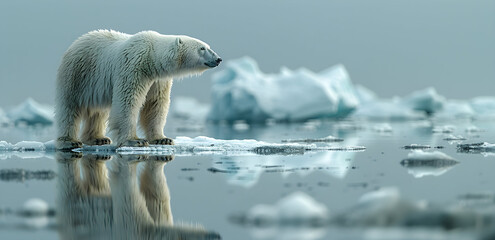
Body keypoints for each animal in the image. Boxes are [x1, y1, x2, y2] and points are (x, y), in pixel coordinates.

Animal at [55, 29, 223, 149]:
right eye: (202, 48)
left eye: (207, 47)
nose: (218, 59)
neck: (151, 57)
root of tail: (76, 43)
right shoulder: (133, 68)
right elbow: (127, 101)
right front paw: (135, 141)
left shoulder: (158, 80)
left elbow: (155, 105)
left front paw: (163, 139)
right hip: (78, 74)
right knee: (70, 107)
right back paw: (70, 141)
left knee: (98, 110)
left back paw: (98, 138)